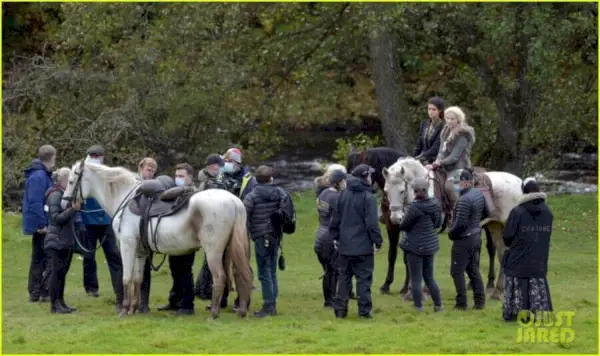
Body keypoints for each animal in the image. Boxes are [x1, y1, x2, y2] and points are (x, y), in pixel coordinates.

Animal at [62, 160, 253, 318]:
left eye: (71, 182)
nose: (64, 203)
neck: (124, 199)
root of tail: (234, 200)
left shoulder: (127, 245)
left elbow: (126, 278)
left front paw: (124, 310)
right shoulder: (140, 251)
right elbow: (138, 279)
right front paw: (133, 309)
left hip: (213, 251)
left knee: (220, 278)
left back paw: (213, 314)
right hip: (229, 251)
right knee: (240, 274)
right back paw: (240, 309)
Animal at [346, 147, 496, 294]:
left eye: (402, 190)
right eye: (387, 191)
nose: (396, 217)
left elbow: (408, 257)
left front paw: (407, 288)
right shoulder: (392, 227)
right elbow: (392, 255)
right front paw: (387, 285)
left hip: (489, 225)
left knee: (491, 248)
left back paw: (490, 283)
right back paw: (471, 284)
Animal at [382, 157, 524, 298]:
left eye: (401, 190)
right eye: (386, 191)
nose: (395, 218)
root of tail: (519, 182)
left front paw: (421, 292)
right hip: (495, 226)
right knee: (502, 253)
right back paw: (497, 292)